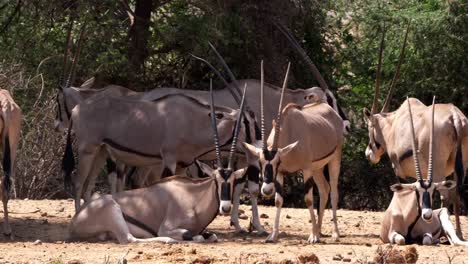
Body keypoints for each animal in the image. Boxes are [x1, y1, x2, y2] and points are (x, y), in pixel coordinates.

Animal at [382, 98, 466, 246]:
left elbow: (426, 239)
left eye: (433, 191)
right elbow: (401, 239)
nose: (427, 215)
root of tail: (456, 118)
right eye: (416, 191)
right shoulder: (391, 233)